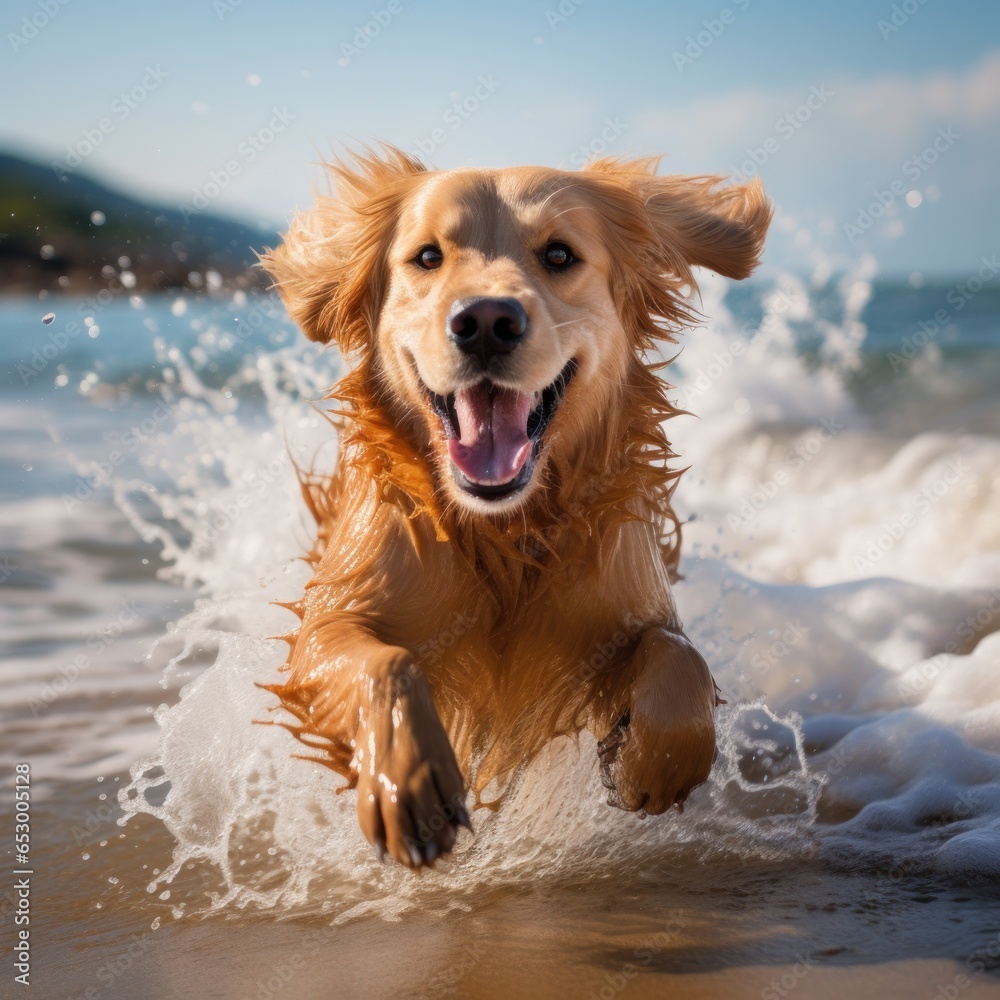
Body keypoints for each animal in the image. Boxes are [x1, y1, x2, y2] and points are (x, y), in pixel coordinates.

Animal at [260, 146, 772, 868]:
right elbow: (382, 661)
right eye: (427, 257)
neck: (500, 531)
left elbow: (677, 651)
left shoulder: (619, 608)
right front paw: (408, 781)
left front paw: (650, 763)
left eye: (559, 255)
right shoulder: (333, 616)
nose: (484, 322)